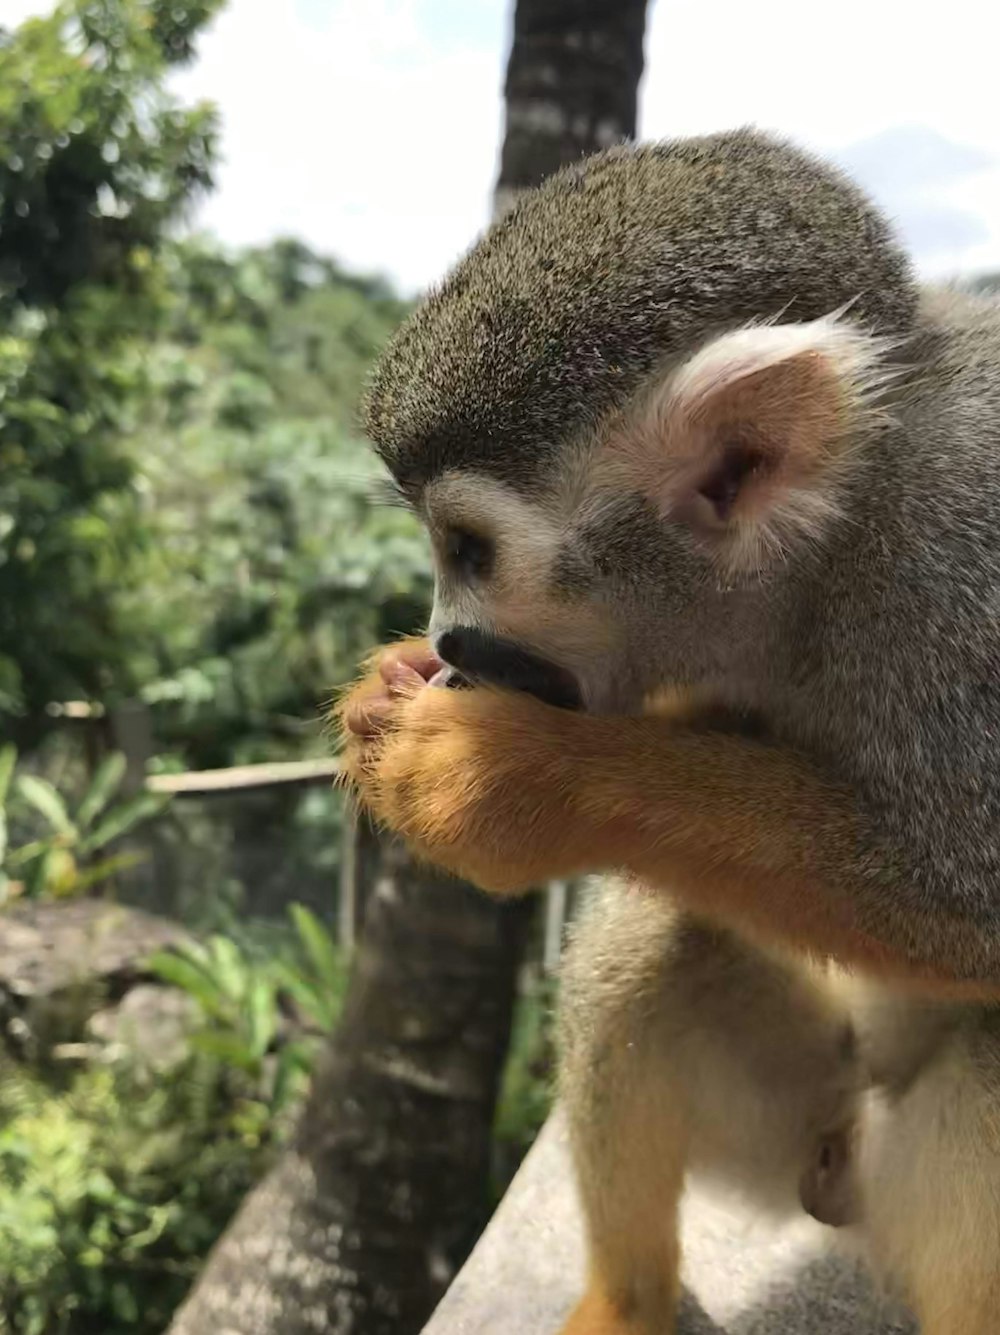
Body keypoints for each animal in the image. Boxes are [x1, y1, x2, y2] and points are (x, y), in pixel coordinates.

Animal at [335, 127, 998, 1335]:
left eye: (470, 551)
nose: (449, 640)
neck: (841, 533)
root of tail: (852, 1188)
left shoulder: (958, 575)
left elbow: (974, 911)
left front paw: (515, 784)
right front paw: (388, 686)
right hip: (811, 1119)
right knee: (644, 930)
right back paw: (628, 1298)